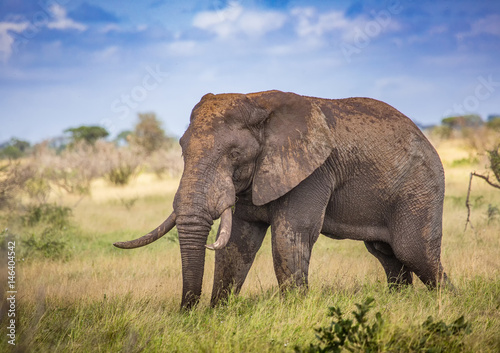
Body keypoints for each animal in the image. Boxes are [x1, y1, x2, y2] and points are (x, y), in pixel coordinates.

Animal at [115, 89, 452, 306]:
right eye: (182, 149)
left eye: (234, 154)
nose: (189, 313)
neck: (257, 102)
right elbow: (238, 243)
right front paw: (219, 313)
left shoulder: (312, 171)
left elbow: (290, 235)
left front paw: (295, 311)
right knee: (386, 254)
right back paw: (401, 303)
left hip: (419, 186)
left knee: (413, 252)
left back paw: (448, 303)